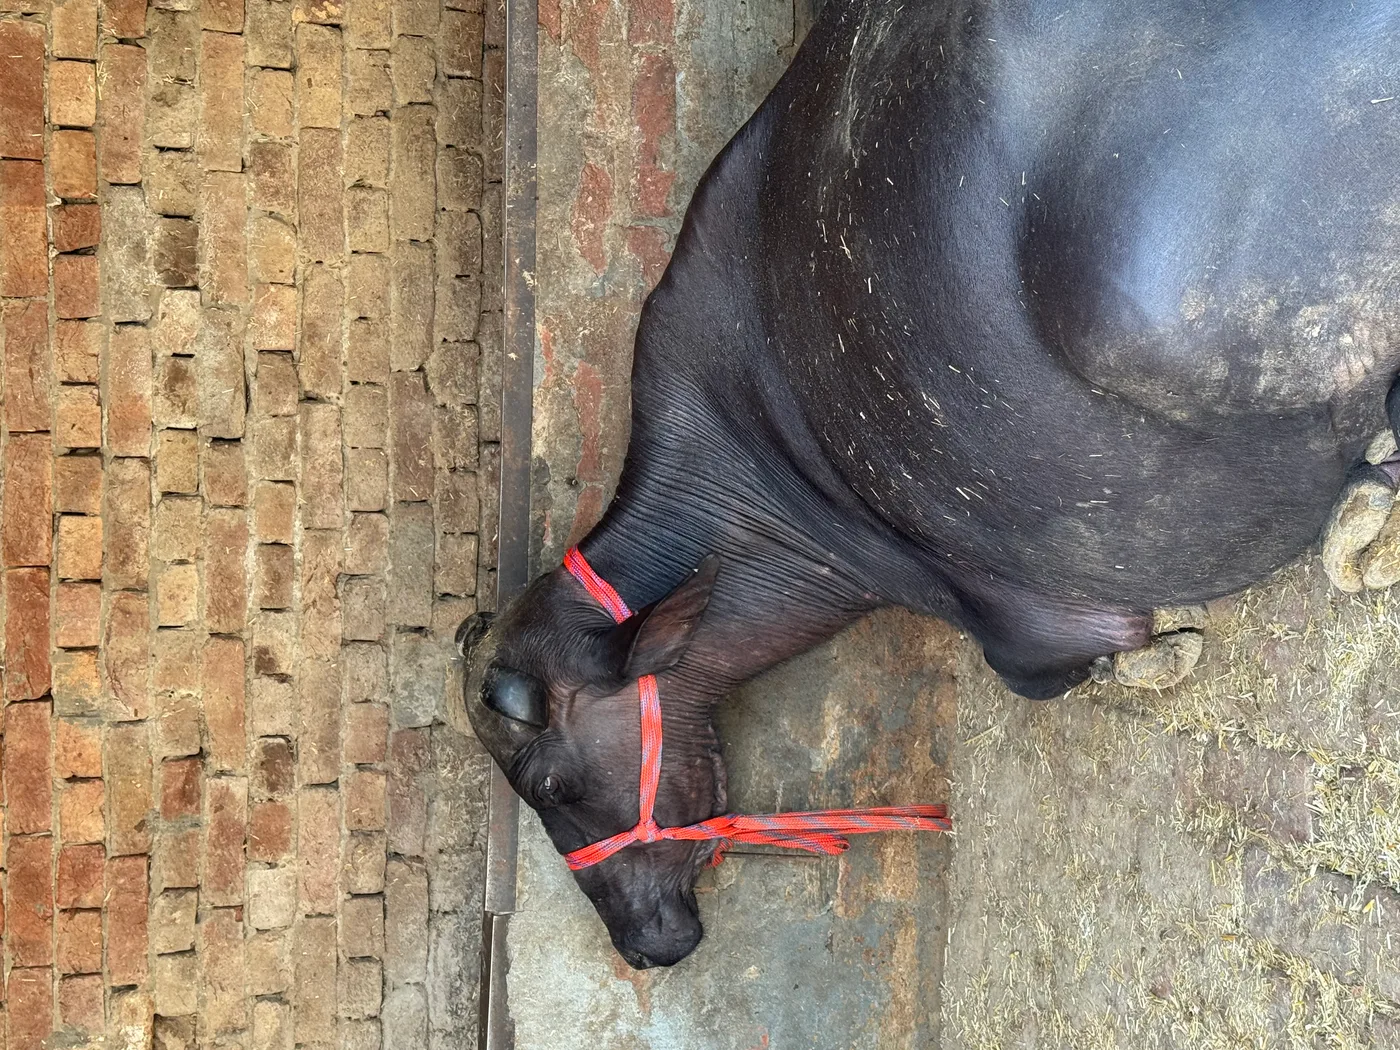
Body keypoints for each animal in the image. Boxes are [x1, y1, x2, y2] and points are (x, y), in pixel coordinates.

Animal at [460, 0, 1400, 968]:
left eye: (550, 782)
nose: (644, 945)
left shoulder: (1033, 625)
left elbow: (1065, 665)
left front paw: (1165, 652)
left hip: (1153, 320)